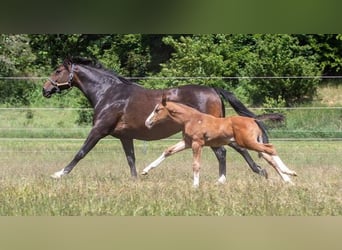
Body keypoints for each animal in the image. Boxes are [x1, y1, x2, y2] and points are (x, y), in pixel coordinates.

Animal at [42, 57, 282, 181]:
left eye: (57, 71)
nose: (45, 89)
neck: (109, 93)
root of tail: (213, 89)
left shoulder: (99, 130)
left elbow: (81, 152)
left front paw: (58, 174)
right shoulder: (125, 137)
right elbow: (131, 159)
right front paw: (136, 180)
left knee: (227, 151)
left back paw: (237, 177)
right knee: (236, 149)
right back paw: (259, 172)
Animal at [144, 95, 296, 188]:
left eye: (158, 110)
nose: (147, 122)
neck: (191, 119)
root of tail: (253, 120)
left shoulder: (197, 143)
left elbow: (196, 165)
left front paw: (195, 186)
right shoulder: (187, 142)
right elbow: (168, 151)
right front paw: (145, 170)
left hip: (248, 142)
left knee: (271, 149)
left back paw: (289, 173)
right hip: (253, 143)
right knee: (268, 156)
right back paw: (287, 178)